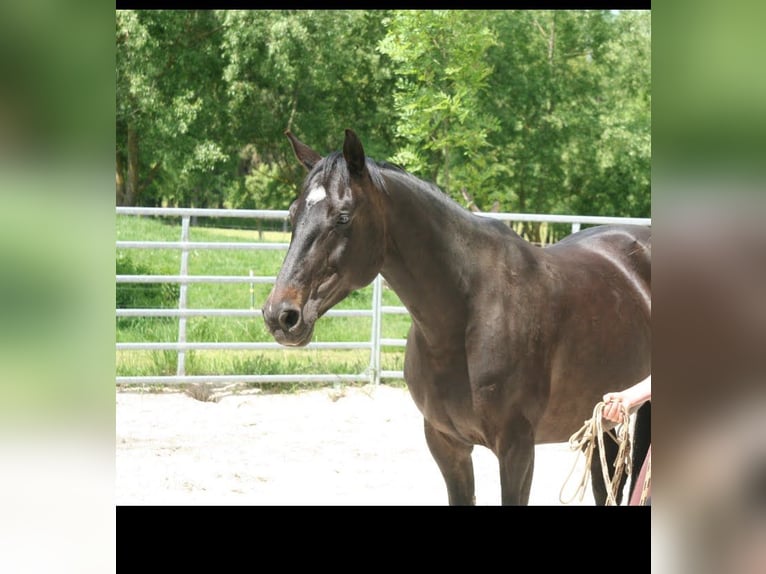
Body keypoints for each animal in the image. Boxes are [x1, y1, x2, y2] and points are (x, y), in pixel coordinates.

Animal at [264, 128, 656, 506]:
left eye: (343, 217)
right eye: (292, 215)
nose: (281, 315)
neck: (467, 314)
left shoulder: (517, 449)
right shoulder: (446, 444)